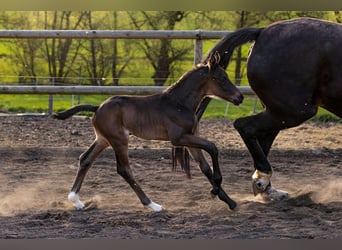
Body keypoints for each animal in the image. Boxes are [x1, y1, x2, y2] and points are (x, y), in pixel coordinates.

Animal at [52, 52, 243, 211]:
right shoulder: (178, 138)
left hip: (103, 139)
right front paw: (216, 189)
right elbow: (213, 147)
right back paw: (153, 205)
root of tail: (97, 107)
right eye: (221, 78)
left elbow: (205, 167)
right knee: (123, 169)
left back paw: (76, 200)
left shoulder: (190, 137)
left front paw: (230, 201)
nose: (240, 97)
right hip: (119, 140)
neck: (179, 103)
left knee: (85, 159)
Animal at [176, 17, 342, 201]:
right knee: (245, 126)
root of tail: (261, 32)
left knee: (261, 137)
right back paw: (263, 179)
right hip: (294, 111)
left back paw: (266, 187)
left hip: (279, 110)